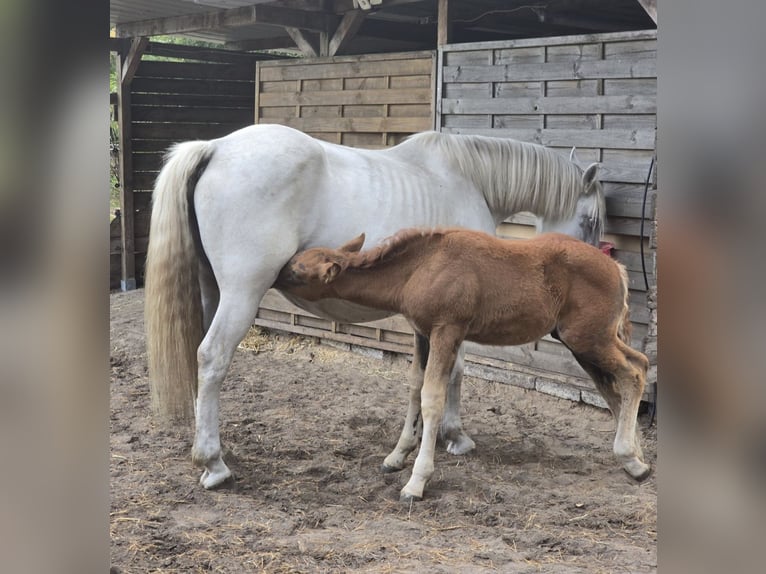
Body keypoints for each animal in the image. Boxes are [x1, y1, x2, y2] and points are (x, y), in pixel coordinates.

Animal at [144, 123, 605, 489]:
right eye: (591, 220)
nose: (592, 262)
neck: (467, 179)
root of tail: (216, 147)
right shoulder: (454, 321)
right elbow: (455, 373)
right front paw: (454, 436)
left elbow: (424, 379)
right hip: (242, 294)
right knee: (212, 357)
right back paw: (214, 463)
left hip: (213, 291)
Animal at [277, 228, 651, 501]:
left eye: (295, 272)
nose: (273, 274)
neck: (419, 268)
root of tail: (616, 269)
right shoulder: (421, 333)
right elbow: (414, 386)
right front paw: (397, 456)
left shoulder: (448, 330)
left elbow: (432, 397)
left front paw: (416, 481)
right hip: (583, 342)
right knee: (629, 374)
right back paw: (636, 458)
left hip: (588, 338)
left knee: (633, 373)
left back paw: (629, 455)